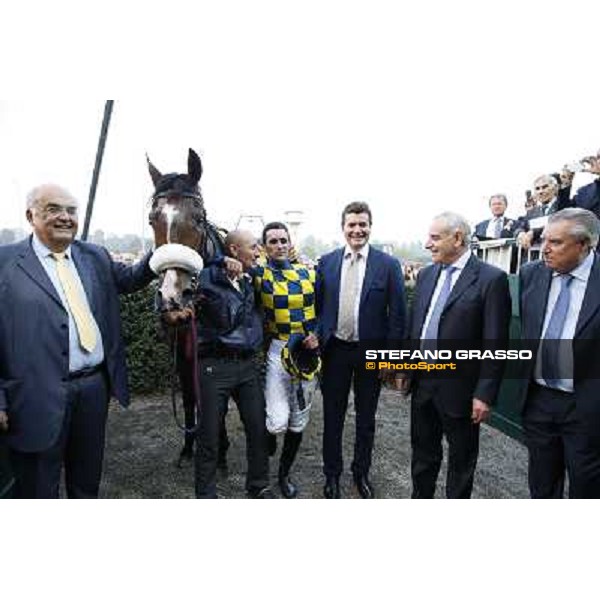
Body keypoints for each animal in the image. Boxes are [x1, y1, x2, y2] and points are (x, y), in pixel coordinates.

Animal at [146, 148, 229, 466]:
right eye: (152, 219)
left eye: (199, 217)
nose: (172, 296)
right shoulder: (182, 354)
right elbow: (191, 398)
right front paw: (188, 445)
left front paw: (220, 449)